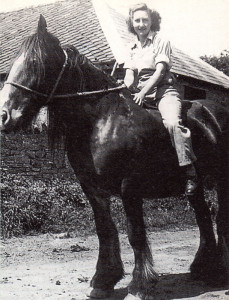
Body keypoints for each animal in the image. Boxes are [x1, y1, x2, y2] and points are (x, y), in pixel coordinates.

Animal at [1, 15, 229, 298]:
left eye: (36, 63)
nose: (5, 115)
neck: (102, 121)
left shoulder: (130, 187)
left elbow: (135, 233)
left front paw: (140, 284)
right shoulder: (93, 189)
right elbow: (105, 230)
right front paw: (103, 280)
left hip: (222, 181)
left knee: (220, 218)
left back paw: (218, 271)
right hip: (195, 187)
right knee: (204, 217)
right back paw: (203, 268)